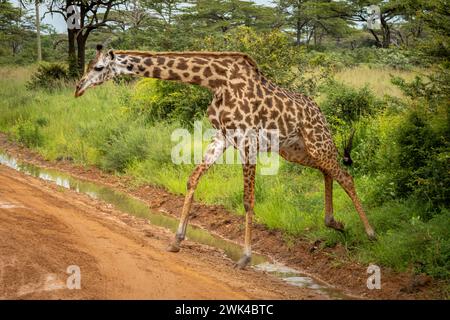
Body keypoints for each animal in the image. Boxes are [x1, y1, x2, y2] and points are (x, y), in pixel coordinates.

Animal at [74, 45, 376, 268]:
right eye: (89, 65)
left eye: (98, 67)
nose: (78, 88)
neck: (216, 81)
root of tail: (320, 111)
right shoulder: (222, 136)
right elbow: (192, 178)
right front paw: (176, 240)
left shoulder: (247, 140)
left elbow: (247, 199)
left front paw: (245, 257)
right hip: (295, 149)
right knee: (328, 171)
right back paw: (334, 222)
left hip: (317, 141)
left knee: (345, 175)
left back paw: (370, 233)